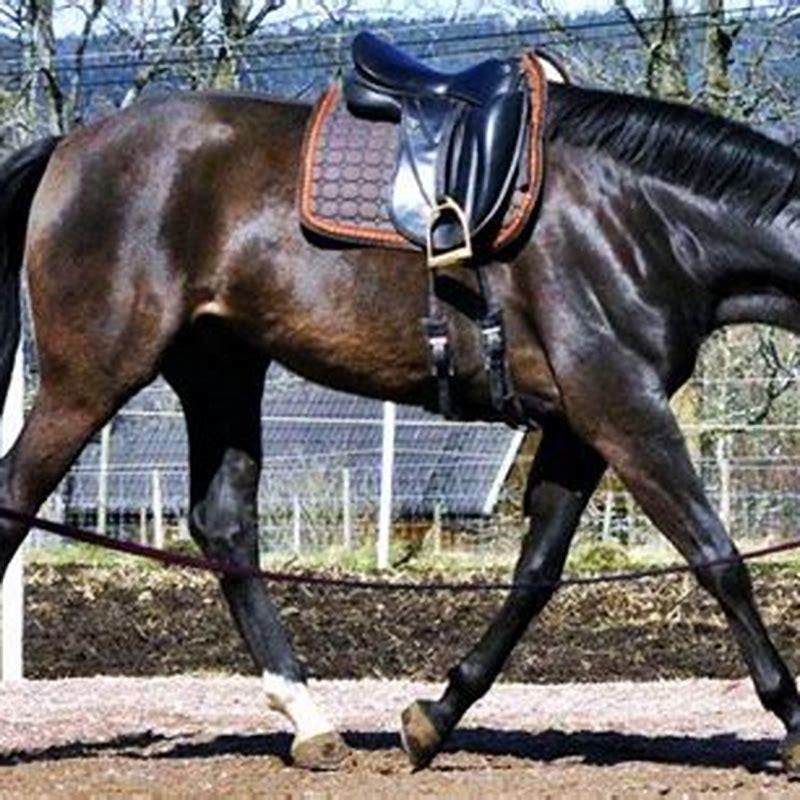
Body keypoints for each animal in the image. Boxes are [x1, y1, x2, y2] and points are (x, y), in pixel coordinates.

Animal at [0, 74, 799, 773]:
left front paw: (435, 717)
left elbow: (536, 574)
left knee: (223, 524)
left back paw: (311, 723)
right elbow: (718, 558)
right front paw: (790, 721)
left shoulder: (579, 428)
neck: (641, 221)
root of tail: (71, 146)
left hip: (220, 372)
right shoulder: (622, 409)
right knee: (16, 496)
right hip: (91, 379)